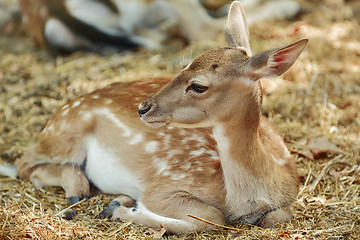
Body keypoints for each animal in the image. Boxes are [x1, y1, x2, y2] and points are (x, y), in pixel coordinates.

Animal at [1, 1, 308, 234]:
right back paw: (79, 189)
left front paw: (120, 205)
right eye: (183, 65)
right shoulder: (163, 185)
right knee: (25, 162)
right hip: (66, 131)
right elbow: (211, 217)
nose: (143, 107)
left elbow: (276, 217)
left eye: (198, 85)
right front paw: (119, 209)